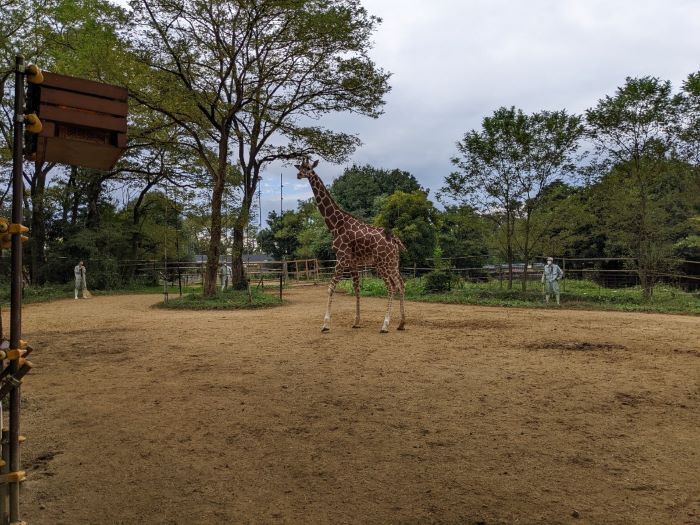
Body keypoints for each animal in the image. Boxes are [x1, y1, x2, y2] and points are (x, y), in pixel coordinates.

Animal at [294, 158, 404, 334]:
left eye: (309, 168)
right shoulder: (353, 263)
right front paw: (356, 322)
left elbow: (330, 287)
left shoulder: (341, 259)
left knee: (391, 287)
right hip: (393, 263)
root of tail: (394, 239)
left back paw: (385, 325)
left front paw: (325, 324)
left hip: (382, 264)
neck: (335, 225)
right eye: (300, 167)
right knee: (400, 284)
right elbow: (357, 289)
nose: (299, 175)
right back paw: (401, 323)